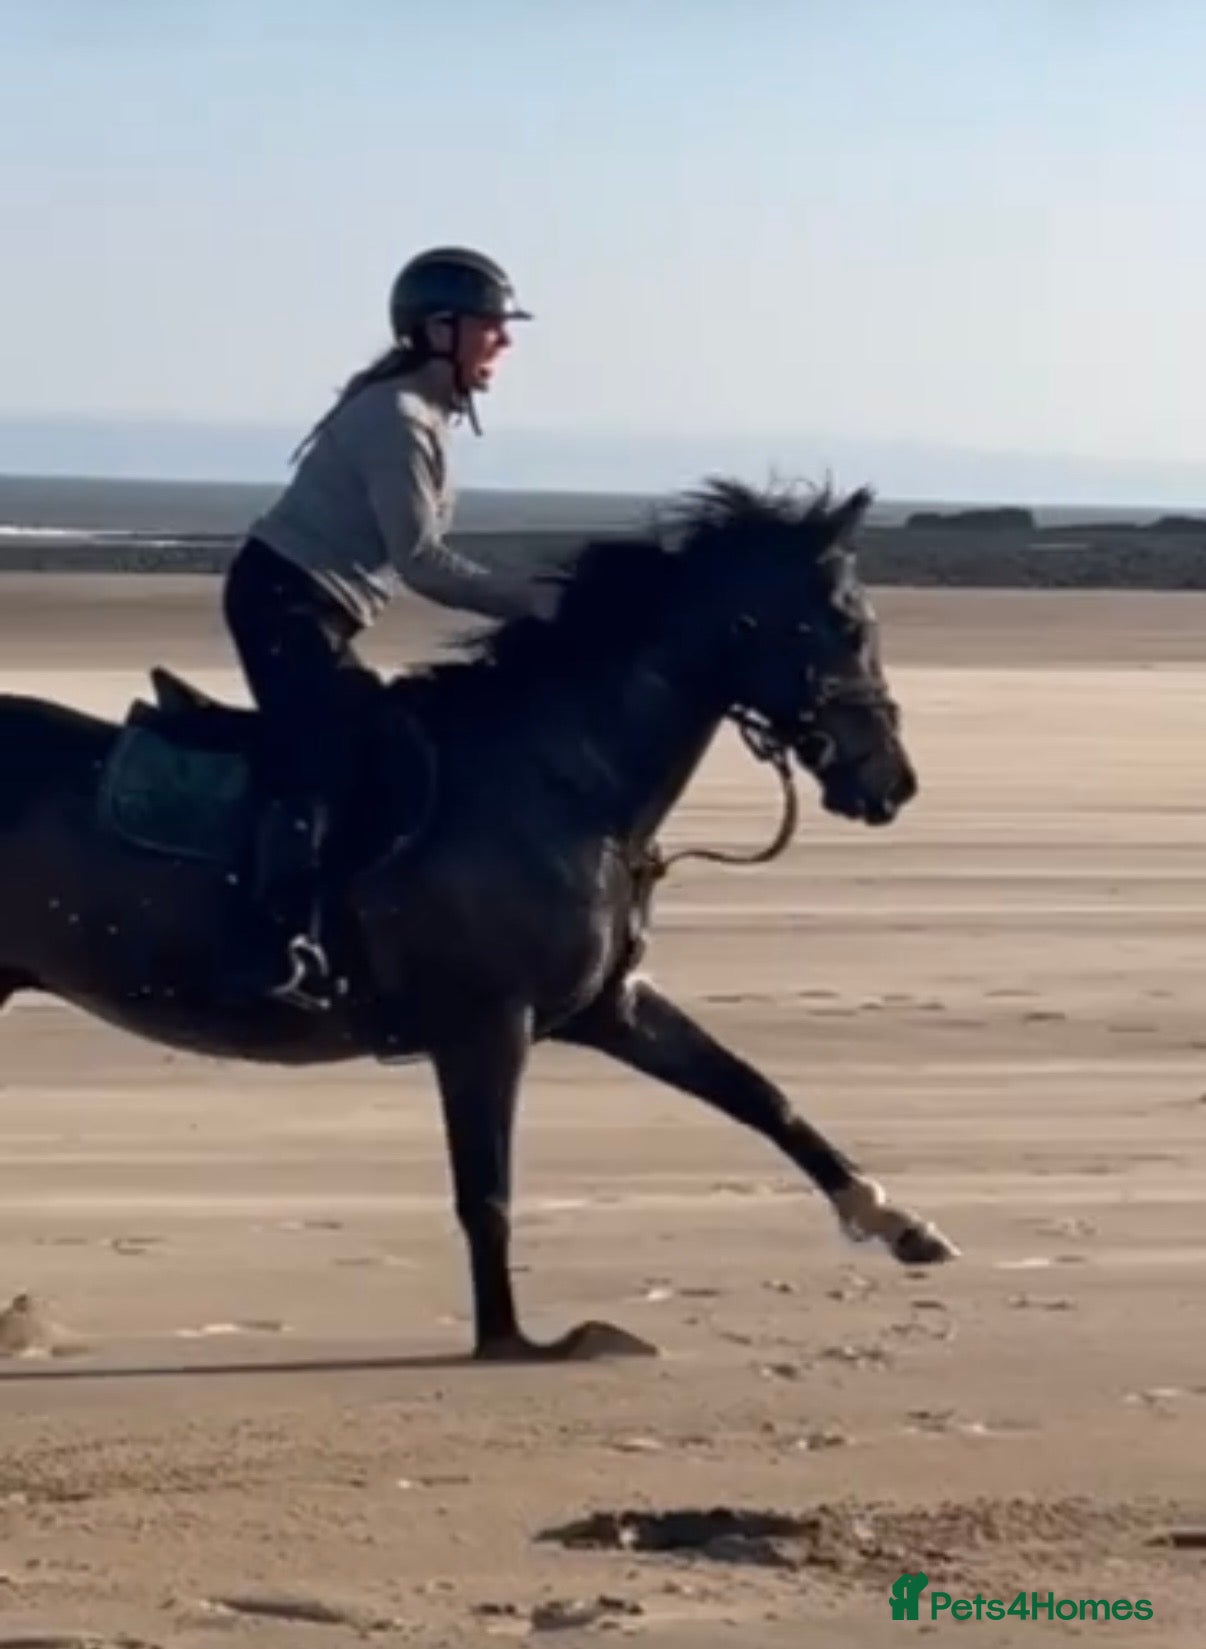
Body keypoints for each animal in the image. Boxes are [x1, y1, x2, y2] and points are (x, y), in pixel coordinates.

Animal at [0, 477, 958, 1363]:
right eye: (845, 623)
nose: (893, 781)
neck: (560, 783)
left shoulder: (610, 1006)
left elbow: (760, 1094)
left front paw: (899, 1222)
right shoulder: (486, 1027)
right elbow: (485, 1190)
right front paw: (509, 1338)